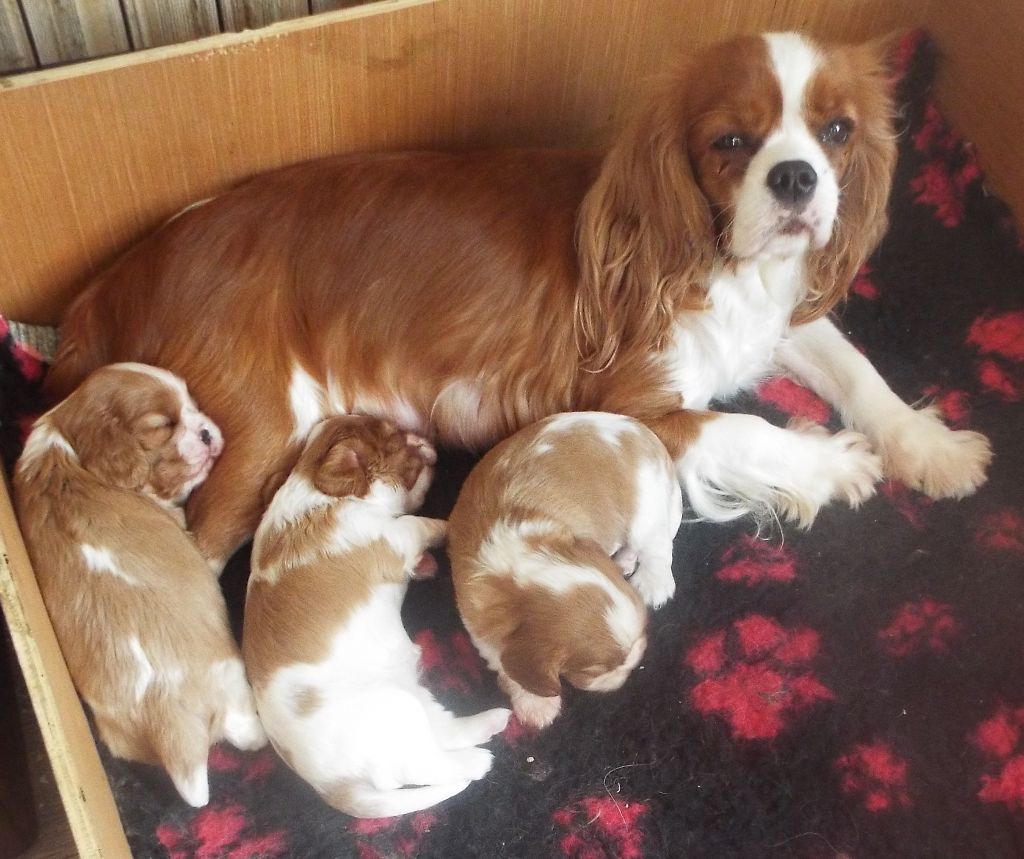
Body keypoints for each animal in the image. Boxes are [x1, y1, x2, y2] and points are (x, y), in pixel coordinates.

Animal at [12, 360, 266, 806]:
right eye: (163, 425)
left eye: (192, 404)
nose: (206, 431)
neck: (67, 446)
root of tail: (167, 723)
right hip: (231, 676)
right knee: (244, 728)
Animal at [240, 415, 512, 819]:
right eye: (393, 434)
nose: (424, 437)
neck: (318, 496)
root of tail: (329, 787)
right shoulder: (392, 535)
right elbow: (421, 522)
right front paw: (448, 525)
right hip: (394, 714)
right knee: (428, 763)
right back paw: (477, 762)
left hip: (408, 695)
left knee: (443, 732)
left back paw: (491, 722)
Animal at [446, 413, 679, 728]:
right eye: (595, 670)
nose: (634, 661)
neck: (526, 558)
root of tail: (644, 431)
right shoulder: (477, 617)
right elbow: (503, 662)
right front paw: (536, 703)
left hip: (646, 507)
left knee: (657, 547)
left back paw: (653, 583)